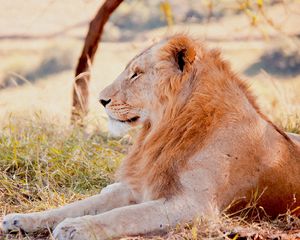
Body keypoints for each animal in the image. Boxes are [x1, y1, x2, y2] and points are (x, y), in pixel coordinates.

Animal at [2, 34, 300, 240]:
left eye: (136, 74)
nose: (101, 100)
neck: (164, 130)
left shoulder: (194, 206)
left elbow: (123, 215)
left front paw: (76, 227)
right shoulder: (139, 188)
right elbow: (76, 206)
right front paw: (18, 220)